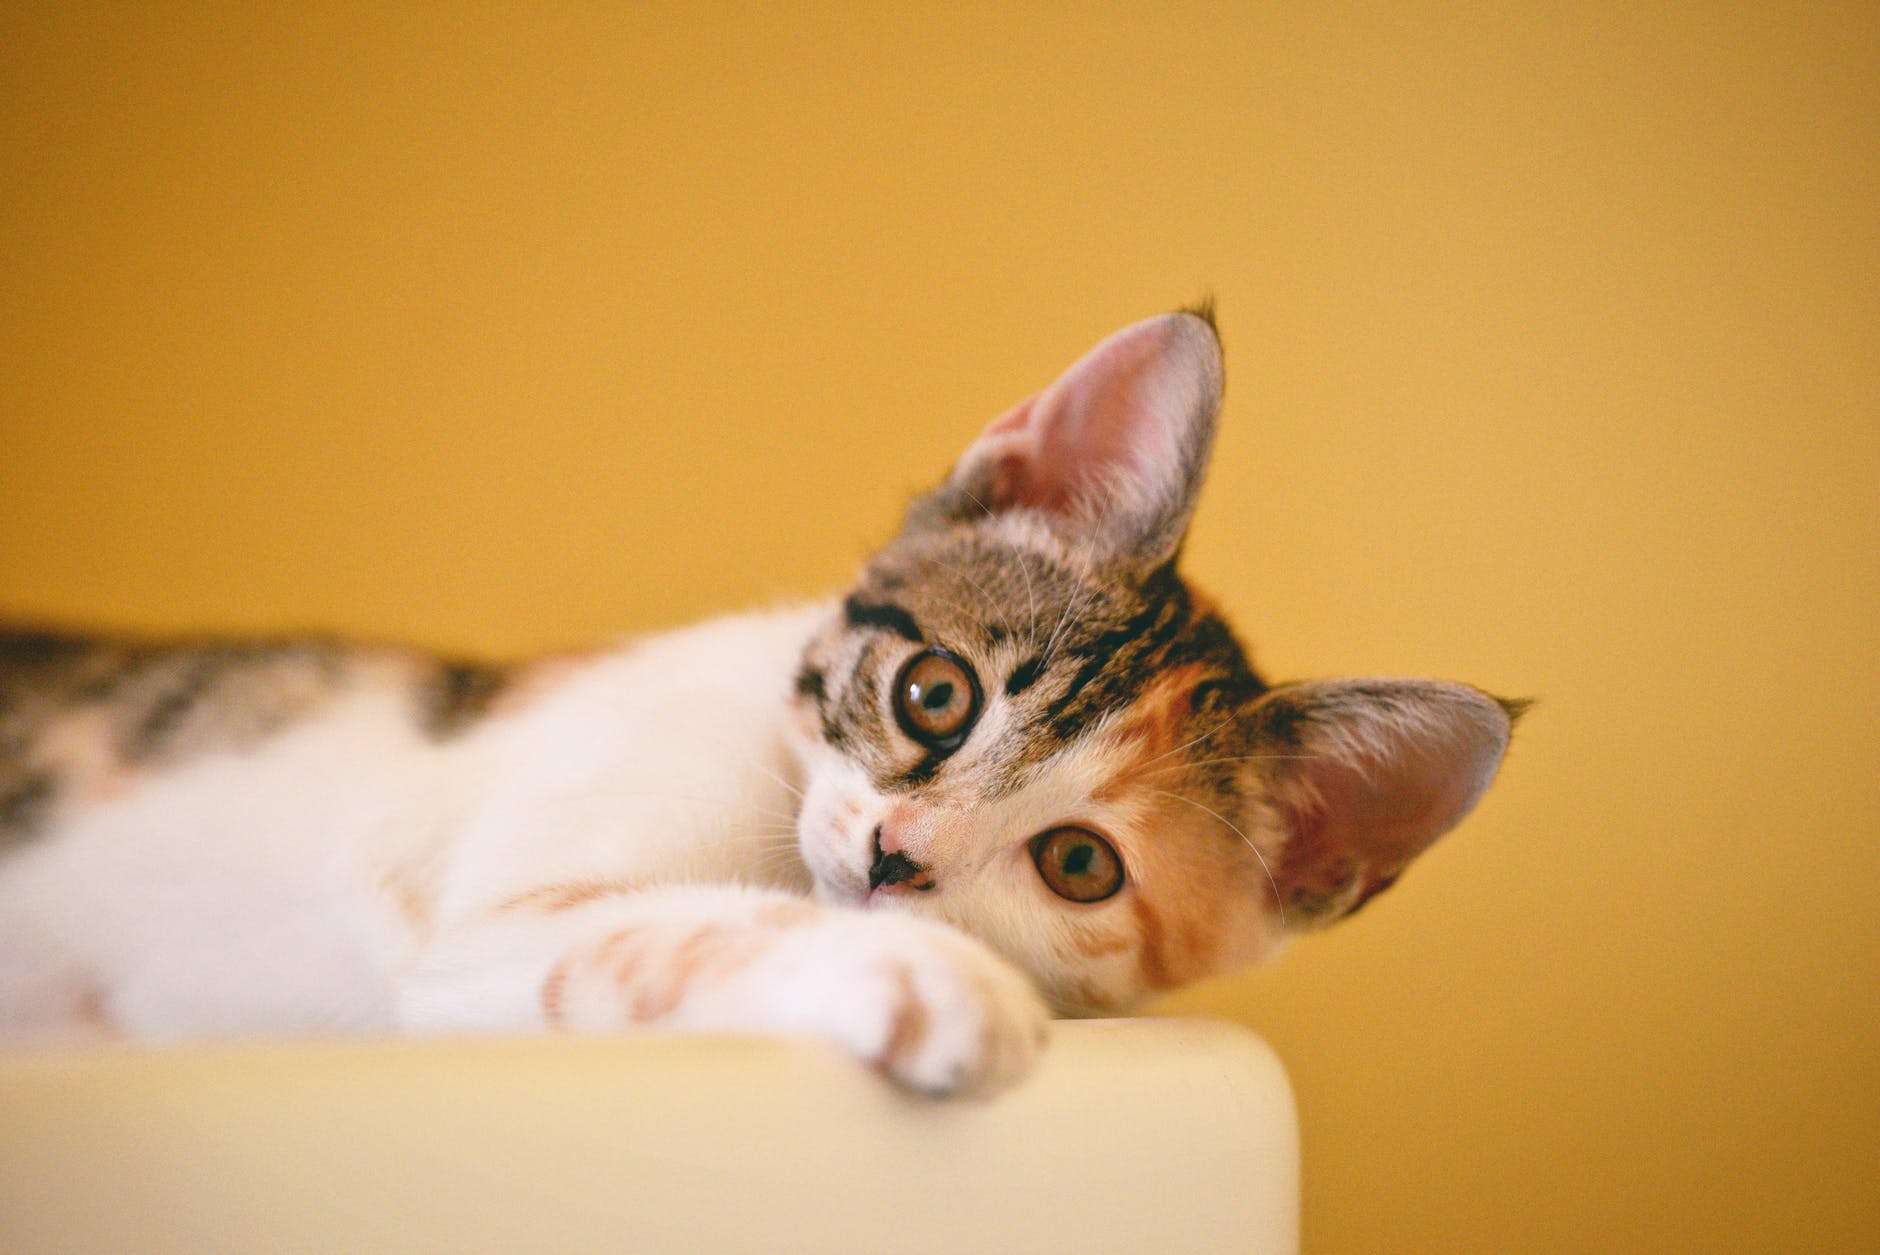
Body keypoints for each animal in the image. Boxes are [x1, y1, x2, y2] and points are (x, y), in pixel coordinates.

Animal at [0, 308, 1519, 1089]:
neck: (776, 822)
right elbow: (658, 927)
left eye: (1080, 863)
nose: (898, 860)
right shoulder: (478, 927)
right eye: (933, 693)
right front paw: (922, 980)